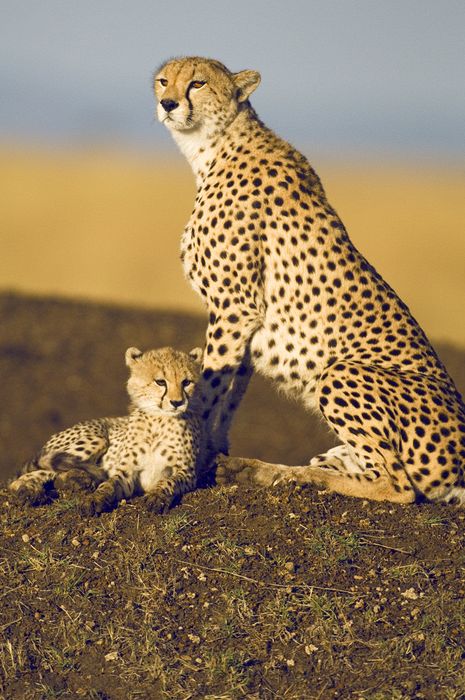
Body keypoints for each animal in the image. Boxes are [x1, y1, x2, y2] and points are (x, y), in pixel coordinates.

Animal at [9, 346, 204, 514]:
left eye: (186, 382)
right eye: (160, 382)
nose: (177, 402)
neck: (158, 420)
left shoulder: (186, 472)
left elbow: (168, 481)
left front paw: (157, 496)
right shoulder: (126, 472)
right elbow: (109, 485)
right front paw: (94, 499)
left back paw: (75, 481)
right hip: (96, 440)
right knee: (25, 477)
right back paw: (32, 492)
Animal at [153, 55, 465, 506]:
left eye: (197, 83)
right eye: (163, 80)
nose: (168, 103)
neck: (214, 146)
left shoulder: (234, 308)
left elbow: (208, 389)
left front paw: (194, 458)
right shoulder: (244, 322)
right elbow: (229, 397)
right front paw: (215, 453)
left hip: (339, 372)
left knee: (399, 486)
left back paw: (294, 477)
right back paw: (262, 470)